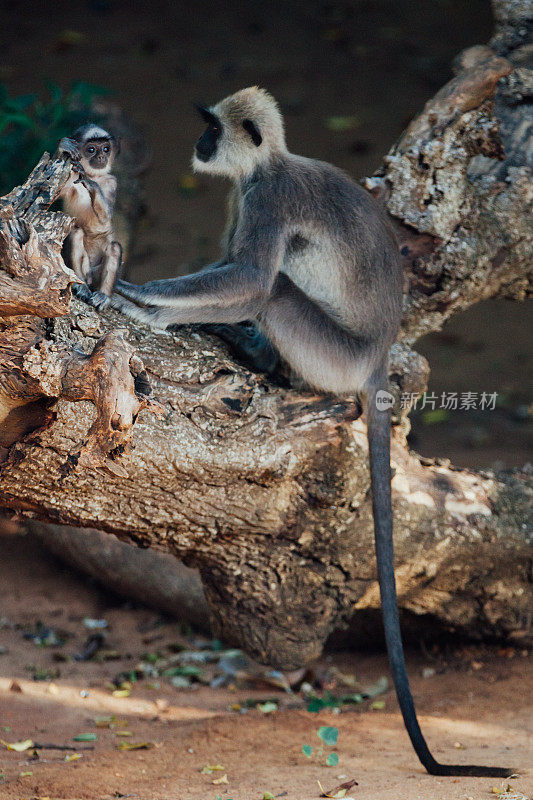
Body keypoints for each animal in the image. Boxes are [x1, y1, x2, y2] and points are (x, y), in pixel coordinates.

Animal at [57, 125, 121, 306]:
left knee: (115, 247)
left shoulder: (112, 181)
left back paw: (103, 295)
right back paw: (82, 285)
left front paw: (91, 184)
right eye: (91, 149)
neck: (93, 174)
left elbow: (106, 216)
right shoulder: (70, 178)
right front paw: (63, 145)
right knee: (76, 233)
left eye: (106, 149)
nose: (101, 156)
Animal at [109, 86, 512, 776]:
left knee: (271, 290)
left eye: (211, 128)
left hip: (332, 355)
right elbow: (231, 267)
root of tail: (375, 355)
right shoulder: (241, 195)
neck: (269, 165)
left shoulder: (265, 198)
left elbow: (247, 278)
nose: (199, 145)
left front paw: (139, 300)